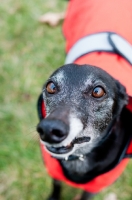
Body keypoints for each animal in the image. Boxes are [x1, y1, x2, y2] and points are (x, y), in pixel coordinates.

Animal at [36, 0, 132, 200]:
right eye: (51, 87)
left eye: (98, 91)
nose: (49, 129)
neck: (80, 157)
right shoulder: (54, 171)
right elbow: (56, 184)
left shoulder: (94, 187)